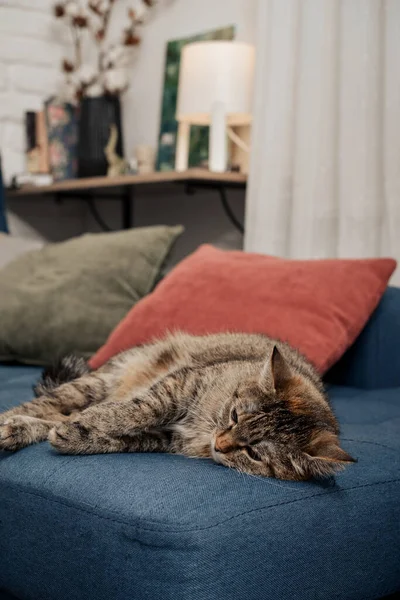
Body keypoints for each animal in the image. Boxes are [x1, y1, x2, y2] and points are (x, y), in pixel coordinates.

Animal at [0, 330, 354, 480]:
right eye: (234, 415)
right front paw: (98, 419)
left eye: (254, 454)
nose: (219, 444)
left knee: (51, 416)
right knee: (43, 404)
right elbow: (136, 410)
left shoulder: (164, 438)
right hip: (92, 384)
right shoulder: (181, 384)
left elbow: (118, 439)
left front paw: (78, 435)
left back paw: (17, 430)